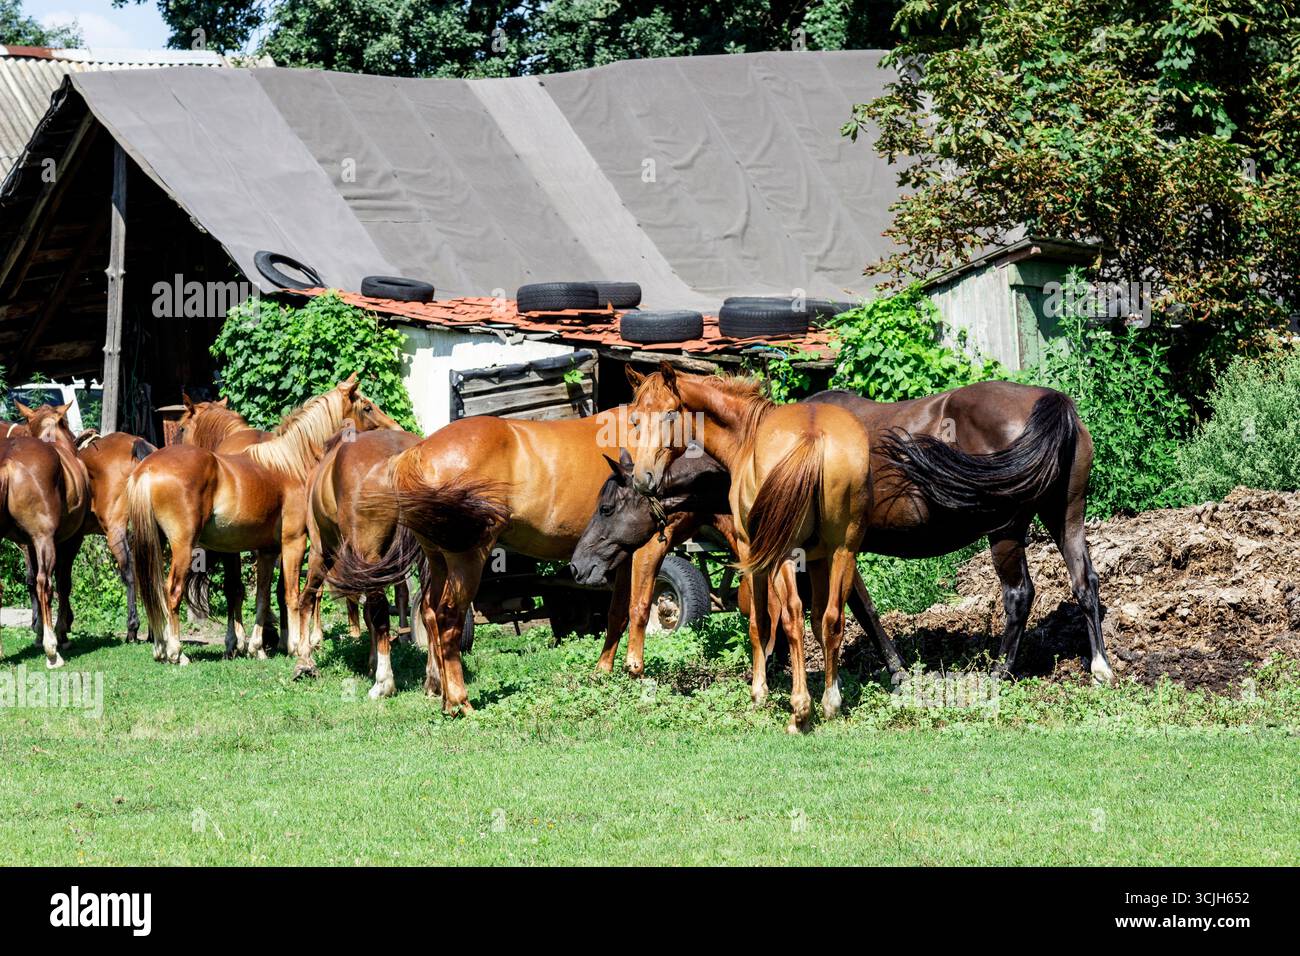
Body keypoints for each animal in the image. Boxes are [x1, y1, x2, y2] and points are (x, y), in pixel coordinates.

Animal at [0, 403, 90, 666]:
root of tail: (8, 461)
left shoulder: (27, 544)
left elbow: (31, 582)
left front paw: (39, 633)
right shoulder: (71, 541)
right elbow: (63, 583)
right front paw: (61, 633)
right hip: (45, 540)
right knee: (45, 583)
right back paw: (52, 650)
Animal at [126, 376, 398, 665]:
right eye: (367, 407)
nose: (395, 429)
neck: (291, 464)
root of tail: (148, 468)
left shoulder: (267, 551)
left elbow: (263, 595)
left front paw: (257, 647)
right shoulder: (294, 543)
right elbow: (292, 595)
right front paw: (295, 646)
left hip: (158, 545)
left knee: (154, 591)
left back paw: (161, 647)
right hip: (183, 547)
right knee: (172, 591)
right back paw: (176, 652)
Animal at [327, 407, 689, 715]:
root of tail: (414, 455)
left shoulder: (621, 556)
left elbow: (617, 613)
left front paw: (605, 672)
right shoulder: (649, 547)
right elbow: (639, 608)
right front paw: (635, 673)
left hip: (438, 559)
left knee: (429, 612)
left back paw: (442, 695)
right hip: (466, 561)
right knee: (447, 617)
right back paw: (459, 703)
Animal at [625, 364, 874, 732]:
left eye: (670, 414)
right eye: (636, 420)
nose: (643, 479)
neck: (746, 436)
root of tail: (813, 436)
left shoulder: (748, 550)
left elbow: (760, 623)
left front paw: (760, 693)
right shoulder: (819, 558)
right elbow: (821, 622)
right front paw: (831, 697)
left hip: (785, 555)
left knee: (792, 617)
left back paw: (799, 711)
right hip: (844, 551)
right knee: (832, 619)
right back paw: (828, 704)